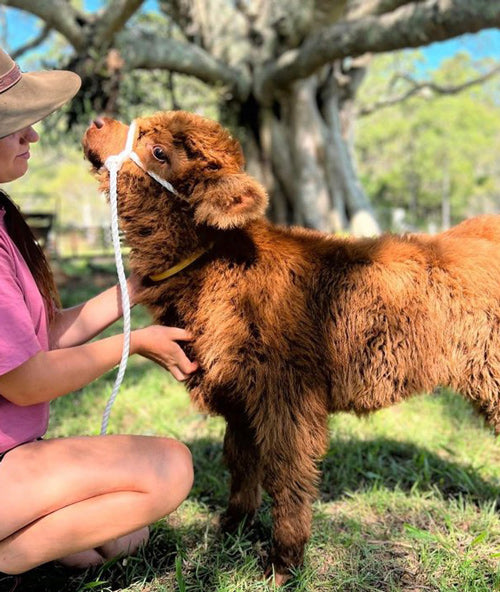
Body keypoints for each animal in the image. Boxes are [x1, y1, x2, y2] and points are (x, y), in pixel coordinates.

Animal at [84, 111, 500, 584]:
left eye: (159, 152)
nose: (97, 122)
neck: (219, 271)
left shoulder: (287, 397)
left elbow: (287, 474)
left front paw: (283, 563)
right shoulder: (239, 396)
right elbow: (241, 460)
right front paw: (233, 525)